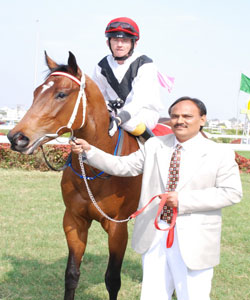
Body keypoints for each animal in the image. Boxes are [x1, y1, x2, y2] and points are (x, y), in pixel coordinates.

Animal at [7, 52, 144, 300]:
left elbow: (112, 279)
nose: (16, 138)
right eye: (36, 92)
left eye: (61, 94)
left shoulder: (117, 227)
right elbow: (71, 274)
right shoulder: (74, 220)